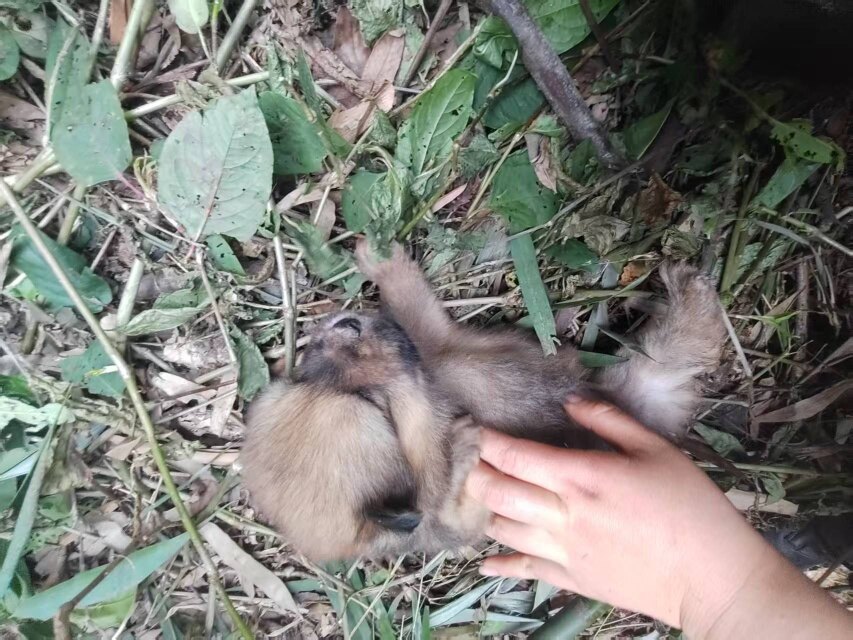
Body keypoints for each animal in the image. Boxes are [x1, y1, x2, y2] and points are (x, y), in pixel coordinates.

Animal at [240, 240, 726, 562]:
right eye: (377, 409)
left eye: (306, 369)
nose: (346, 326)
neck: (432, 384)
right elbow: (451, 510)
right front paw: (460, 459)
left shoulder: (434, 343)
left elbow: (413, 305)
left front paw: (383, 261)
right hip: (650, 386)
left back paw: (689, 286)